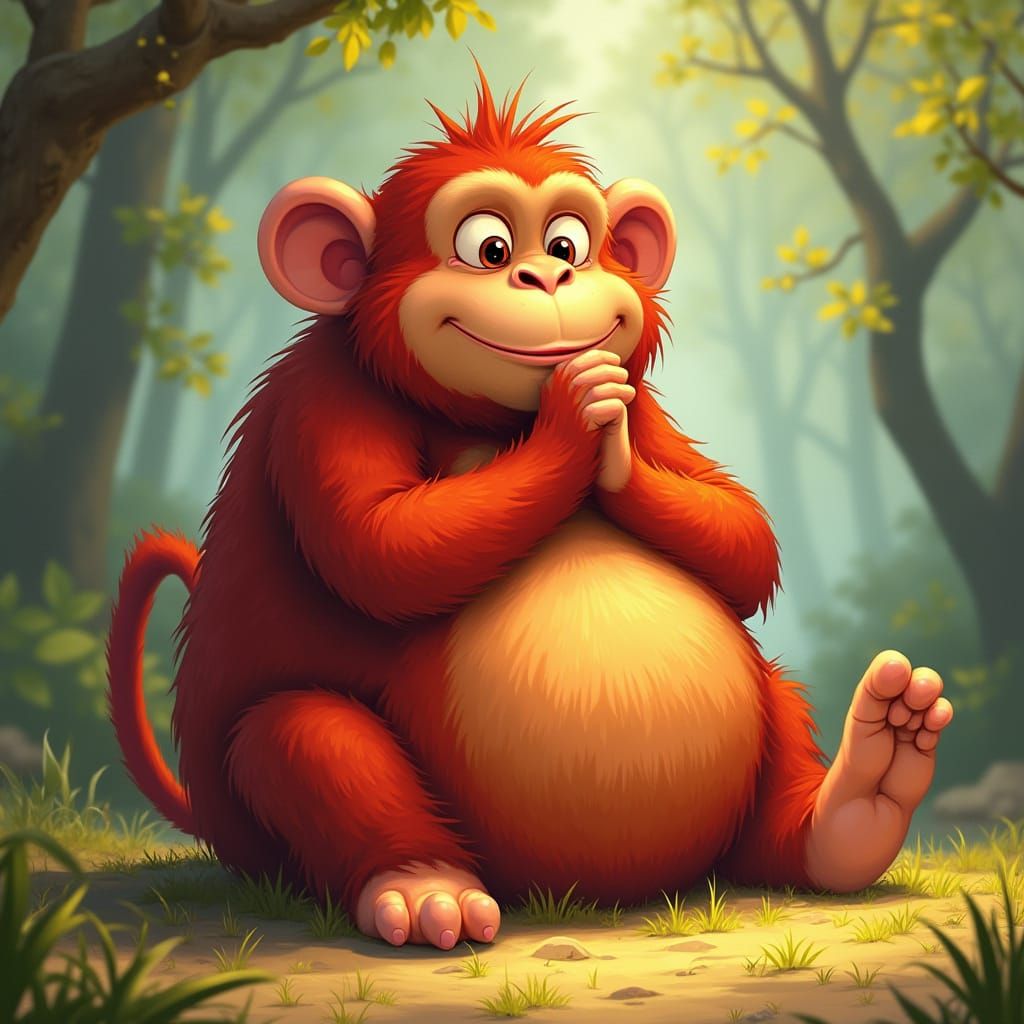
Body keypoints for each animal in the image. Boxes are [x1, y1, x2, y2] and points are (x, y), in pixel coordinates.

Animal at [108, 67, 953, 952]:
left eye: (568, 244)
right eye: (489, 247)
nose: (548, 278)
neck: (487, 416)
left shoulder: (654, 409)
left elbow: (745, 534)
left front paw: (609, 440)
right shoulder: (322, 398)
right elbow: (377, 547)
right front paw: (572, 420)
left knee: (774, 705)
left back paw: (858, 801)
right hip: (264, 814)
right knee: (302, 737)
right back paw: (423, 888)